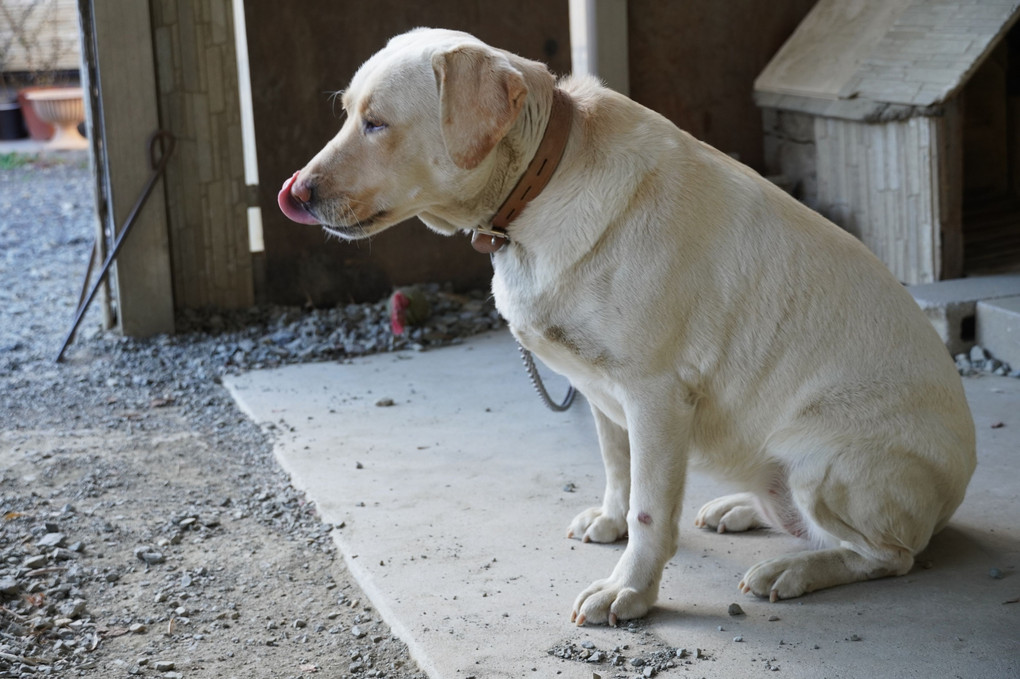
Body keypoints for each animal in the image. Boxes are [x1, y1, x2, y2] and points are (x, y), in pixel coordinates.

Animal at [279, 29, 979, 628]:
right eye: (347, 113)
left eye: (377, 123)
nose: (295, 193)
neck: (539, 190)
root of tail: (955, 492)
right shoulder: (601, 393)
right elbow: (618, 469)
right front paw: (610, 523)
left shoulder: (656, 396)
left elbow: (650, 511)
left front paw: (629, 592)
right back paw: (741, 510)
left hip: (820, 464)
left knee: (889, 555)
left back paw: (793, 570)